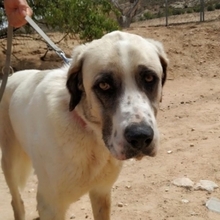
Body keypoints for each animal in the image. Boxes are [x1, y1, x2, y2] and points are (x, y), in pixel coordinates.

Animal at [0, 31, 168, 220]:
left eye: (149, 78)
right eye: (104, 85)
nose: (140, 136)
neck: (91, 135)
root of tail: (12, 75)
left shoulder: (101, 192)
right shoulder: (50, 206)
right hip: (9, 161)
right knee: (16, 202)